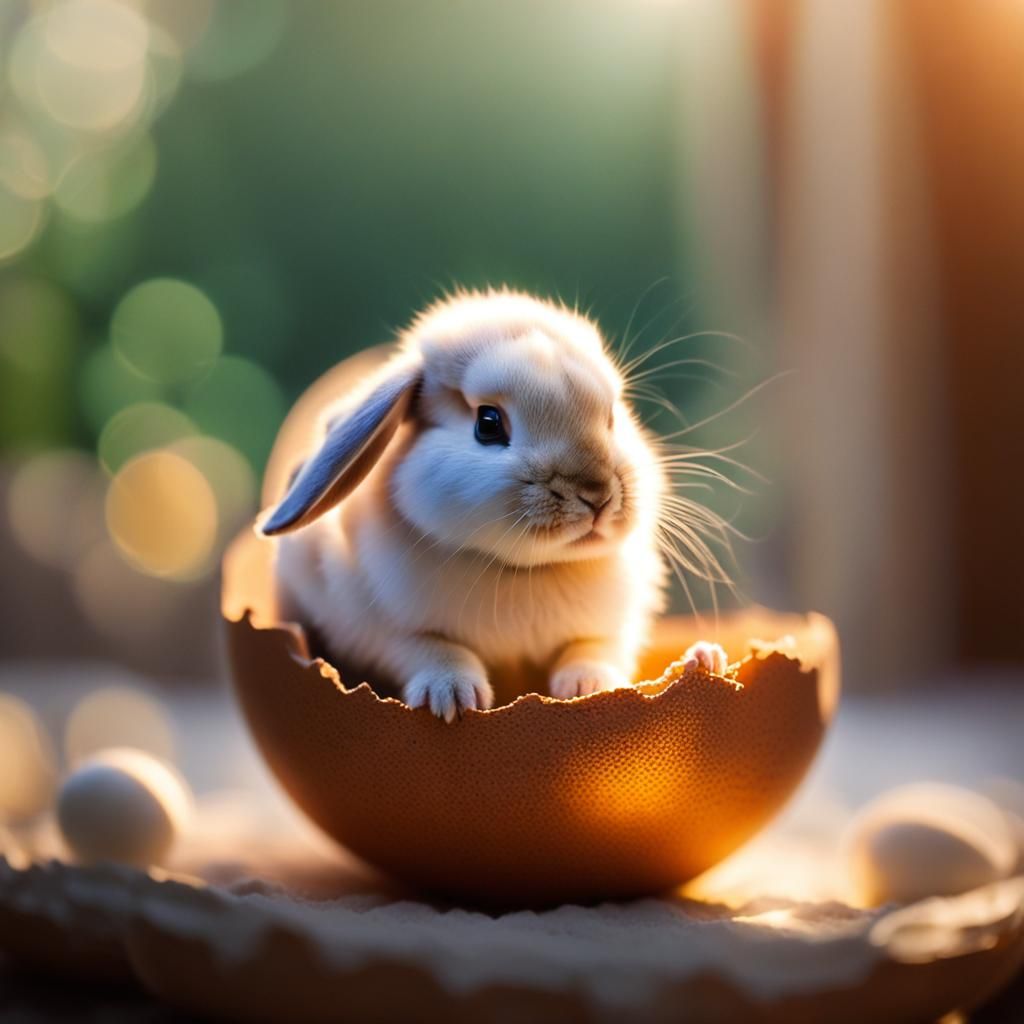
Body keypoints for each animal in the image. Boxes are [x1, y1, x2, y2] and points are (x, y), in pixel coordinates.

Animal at [259, 289, 727, 721]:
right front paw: (452, 697)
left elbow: (591, 649)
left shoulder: (611, 629)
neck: (525, 573)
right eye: (488, 423)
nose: (597, 494)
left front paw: (587, 687)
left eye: (612, 416)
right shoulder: (375, 626)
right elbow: (428, 647)